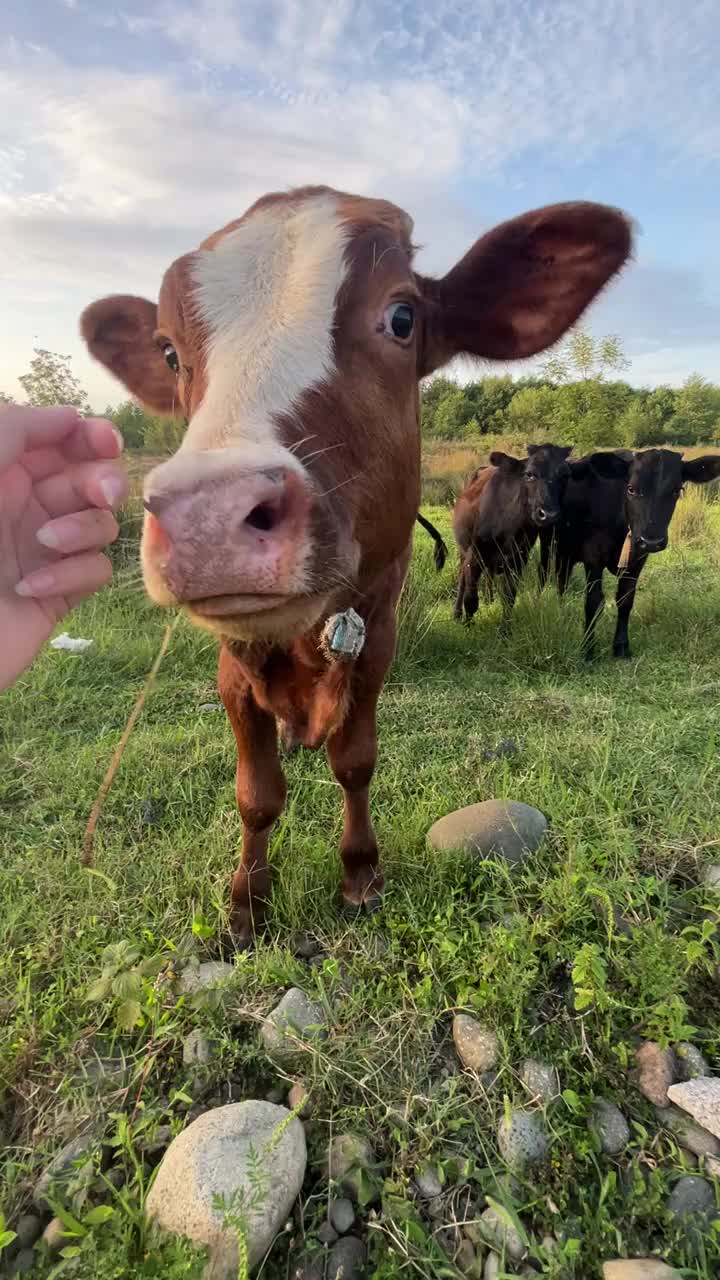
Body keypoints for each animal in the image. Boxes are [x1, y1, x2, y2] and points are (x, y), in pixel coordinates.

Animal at [79, 183, 627, 942]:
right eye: (167, 351)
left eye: (401, 317)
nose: (208, 515)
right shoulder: (232, 666)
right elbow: (257, 792)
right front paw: (247, 904)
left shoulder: (377, 642)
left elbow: (356, 761)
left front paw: (360, 875)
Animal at [538, 445, 717, 660]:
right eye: (631, 489)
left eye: (677, 490)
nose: (651, 541)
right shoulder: (593, 557)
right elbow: (593, 602)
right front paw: (588, 649)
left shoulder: (637, 560)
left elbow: (625, 600)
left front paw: (621, 646)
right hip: (548, 545)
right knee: (545, 575)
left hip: (566, 553)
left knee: (561, 581)